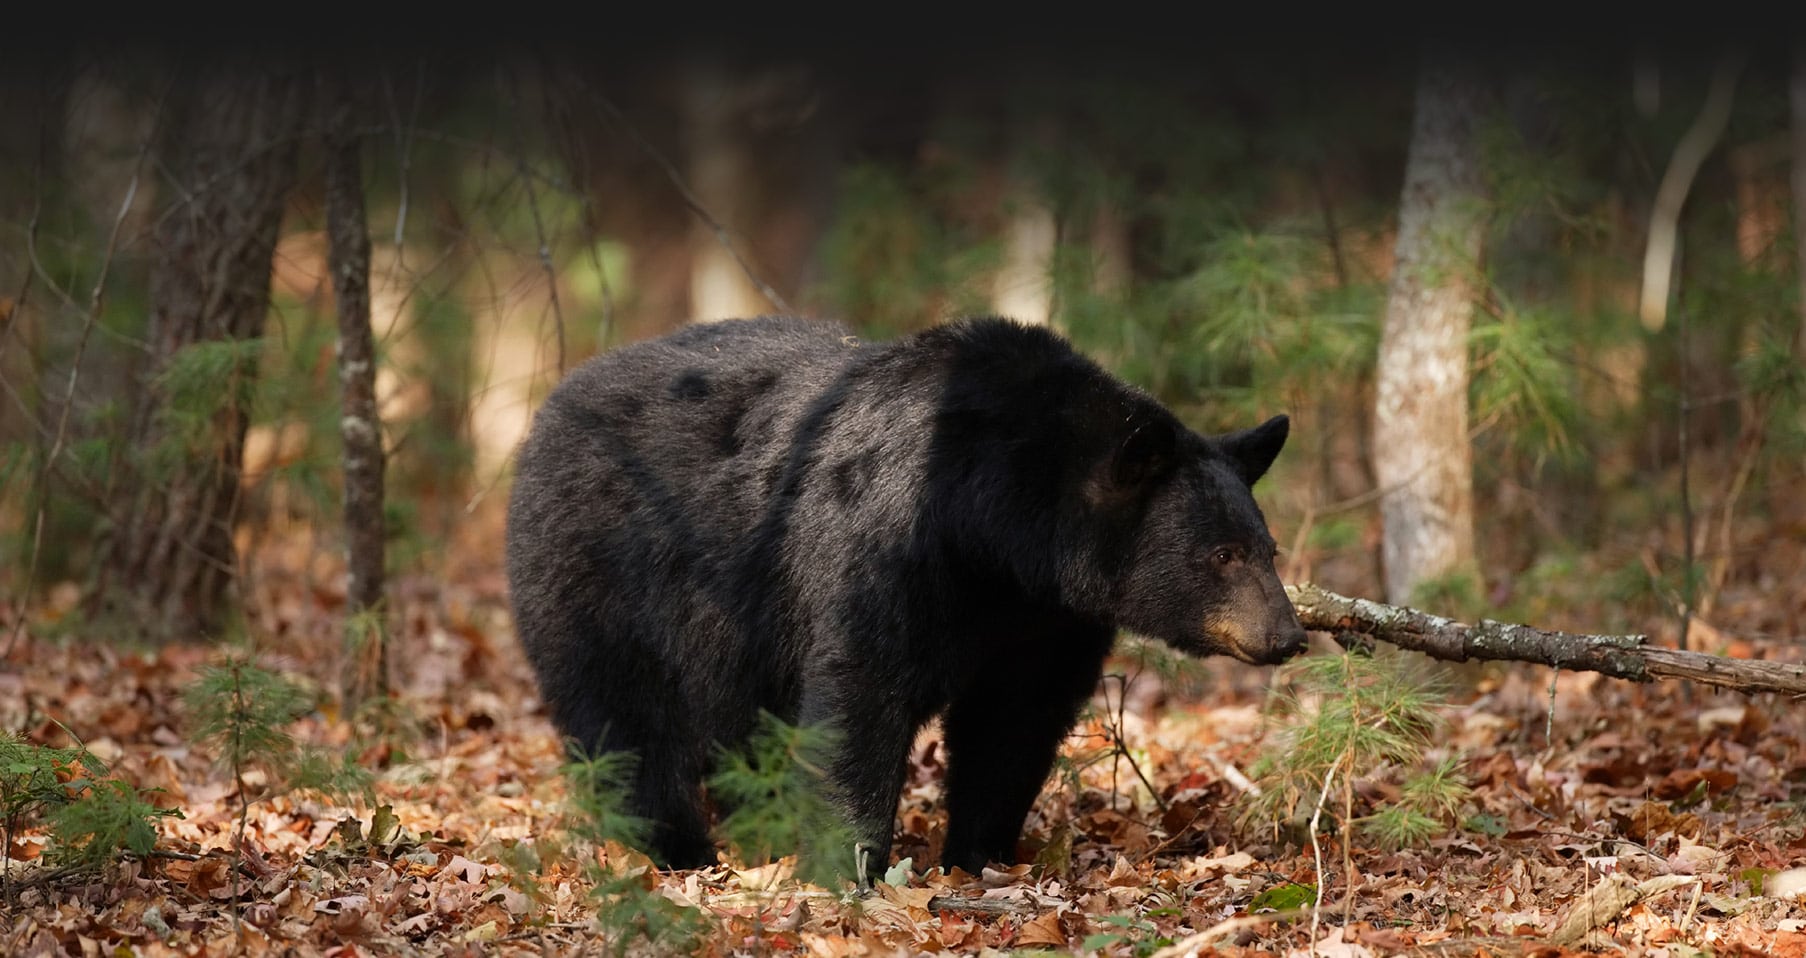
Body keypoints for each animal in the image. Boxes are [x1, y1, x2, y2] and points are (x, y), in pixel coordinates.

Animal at [502, 314, 1307, 878]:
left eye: (1267, 548)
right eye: (1222, 555)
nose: (1288, 636)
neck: (999, 534)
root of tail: (553, 404)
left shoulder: (1046, 617)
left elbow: (1015, 719)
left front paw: (978, 853)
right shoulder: (890, 545)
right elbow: (863, 693)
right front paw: (850, 863)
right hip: (602, 572)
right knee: (626, 721)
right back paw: (674, 851)